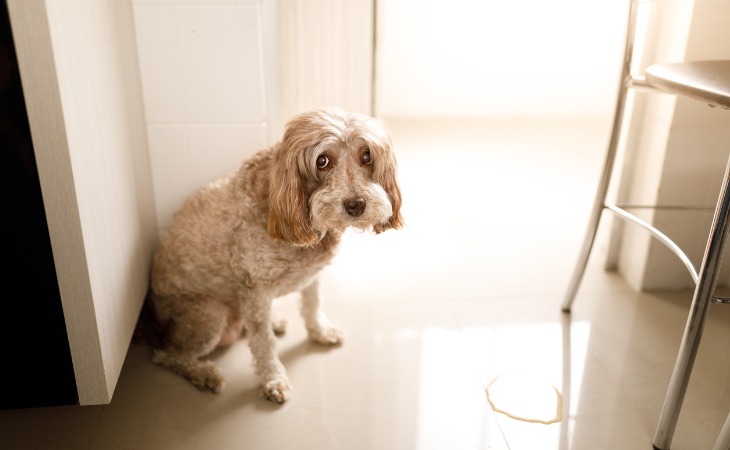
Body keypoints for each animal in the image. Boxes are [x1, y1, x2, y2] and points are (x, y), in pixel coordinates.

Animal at [144, 109, 400, 404]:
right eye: (322, 160)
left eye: (366, 155)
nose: (356, 204)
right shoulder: (254, 292)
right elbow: (263, 343)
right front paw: (273, 379)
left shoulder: (311, 278)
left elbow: (312, 307)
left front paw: (320, 332)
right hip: (209, 314)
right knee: (169, 355)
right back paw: (205, 373)